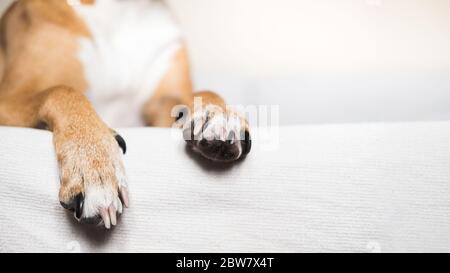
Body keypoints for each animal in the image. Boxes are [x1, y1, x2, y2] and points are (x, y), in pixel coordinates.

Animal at [0, 0, 250, 227]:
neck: (125, 7)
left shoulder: (158, 109)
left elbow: (199, 93)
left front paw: (219, 115)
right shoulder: (8, 100)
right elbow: (61, 90)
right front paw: (93, 165)